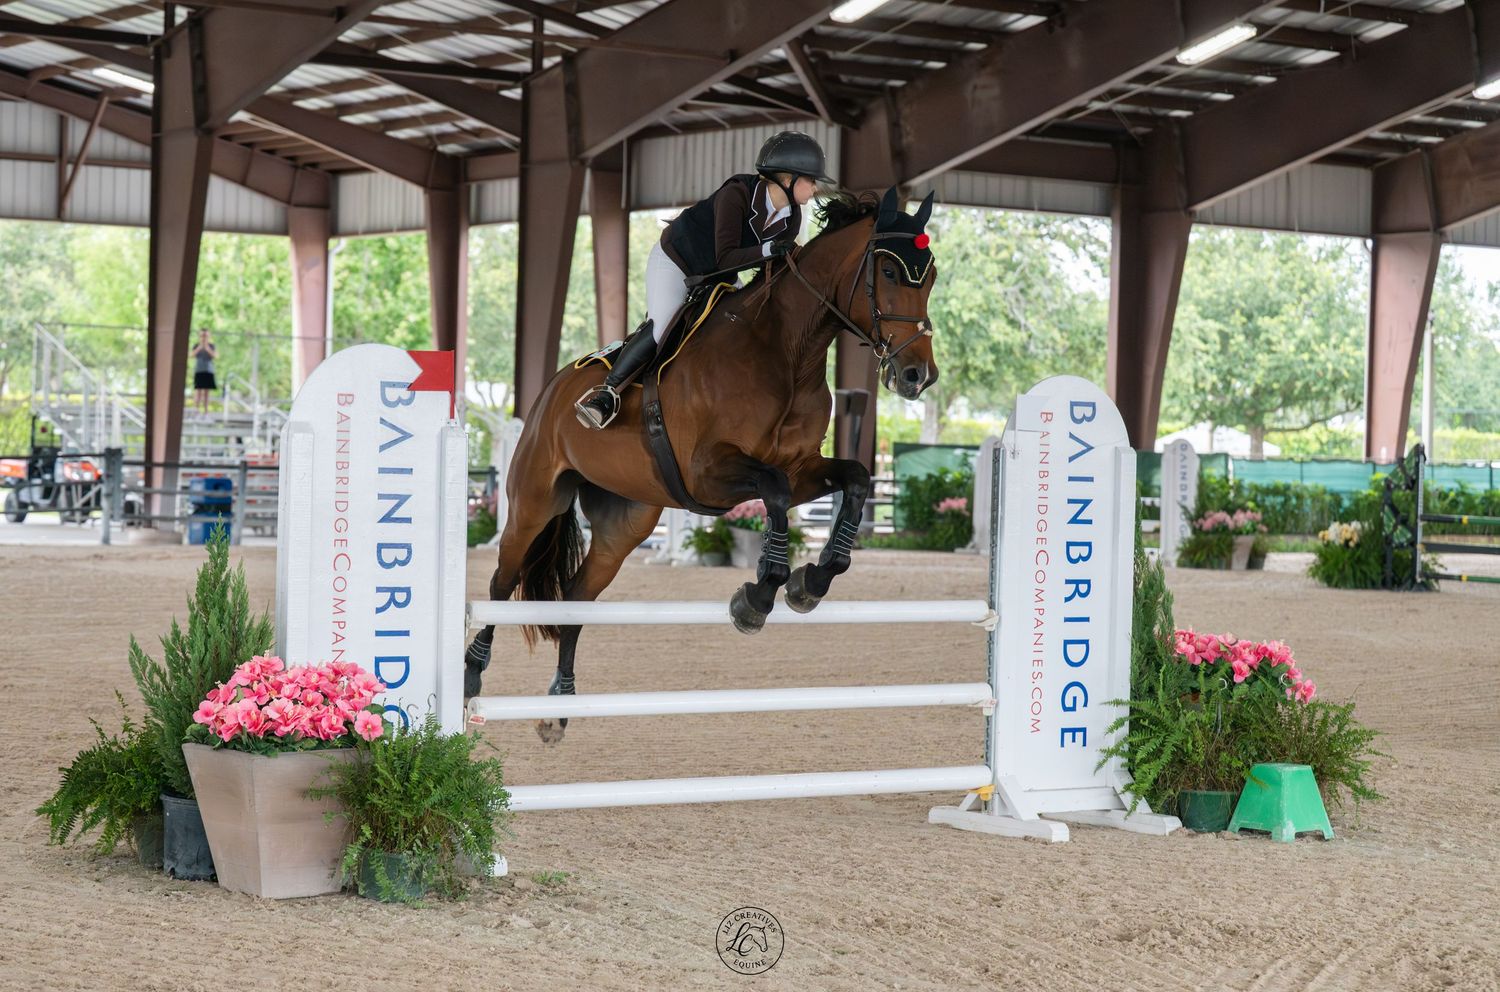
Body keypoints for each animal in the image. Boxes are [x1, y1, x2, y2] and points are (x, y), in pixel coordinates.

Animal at [465, 186, 940, 742]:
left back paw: (559, 706)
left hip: (624, 521)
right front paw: (759, 596)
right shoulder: (709, 472)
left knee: (578, 597)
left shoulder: (802, 467)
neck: (788, 352)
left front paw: (812, 581)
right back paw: (472, 672)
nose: (917, 375)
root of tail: (550, 393)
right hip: (535, 501)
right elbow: (774, 492)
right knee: (502, 581)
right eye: (888, 270)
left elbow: (855, 480)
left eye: (930, 274)